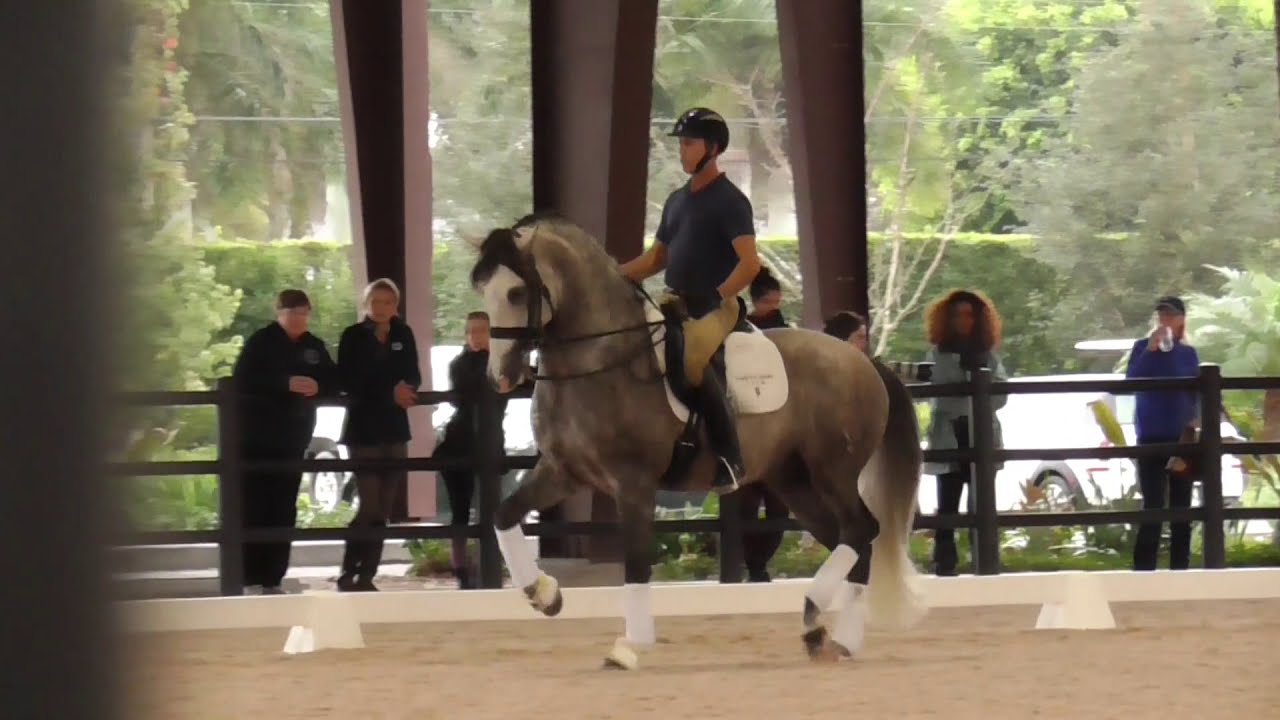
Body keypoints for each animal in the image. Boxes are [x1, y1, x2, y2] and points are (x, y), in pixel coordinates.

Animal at [465, 213, 926, 670]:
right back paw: (828, 635)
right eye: (482, 289)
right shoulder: (563, 471)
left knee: (862, 529)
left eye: (516, 292)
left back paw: (823, 617)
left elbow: (636, 561)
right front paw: (544, 595)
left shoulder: (633, 482)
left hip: (833, 470)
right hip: (795, 482)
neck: (601, 363)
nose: (500, 377)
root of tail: (862, 361)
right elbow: (504, 515)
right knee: (854, 540)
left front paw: (629, 646)